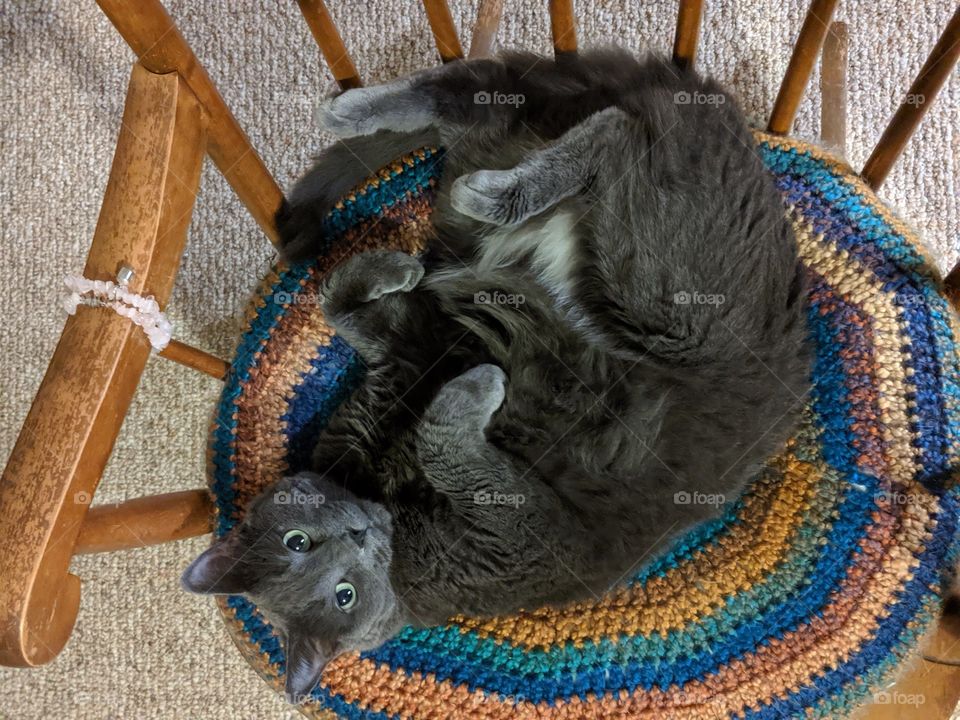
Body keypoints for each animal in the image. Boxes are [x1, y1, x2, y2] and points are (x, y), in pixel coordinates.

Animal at [180, 49, 808, 704]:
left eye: (298, 542)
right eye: (340, 594)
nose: (357, 534)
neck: (381, 492)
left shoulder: (409, 357)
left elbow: (335, 298)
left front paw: (397, 270)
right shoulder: (508, 511)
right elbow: (440, 438)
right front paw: (479, 382)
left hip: (664, 302)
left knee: (517, 105)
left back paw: (362, 119)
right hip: (632, 270)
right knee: (563, 121)